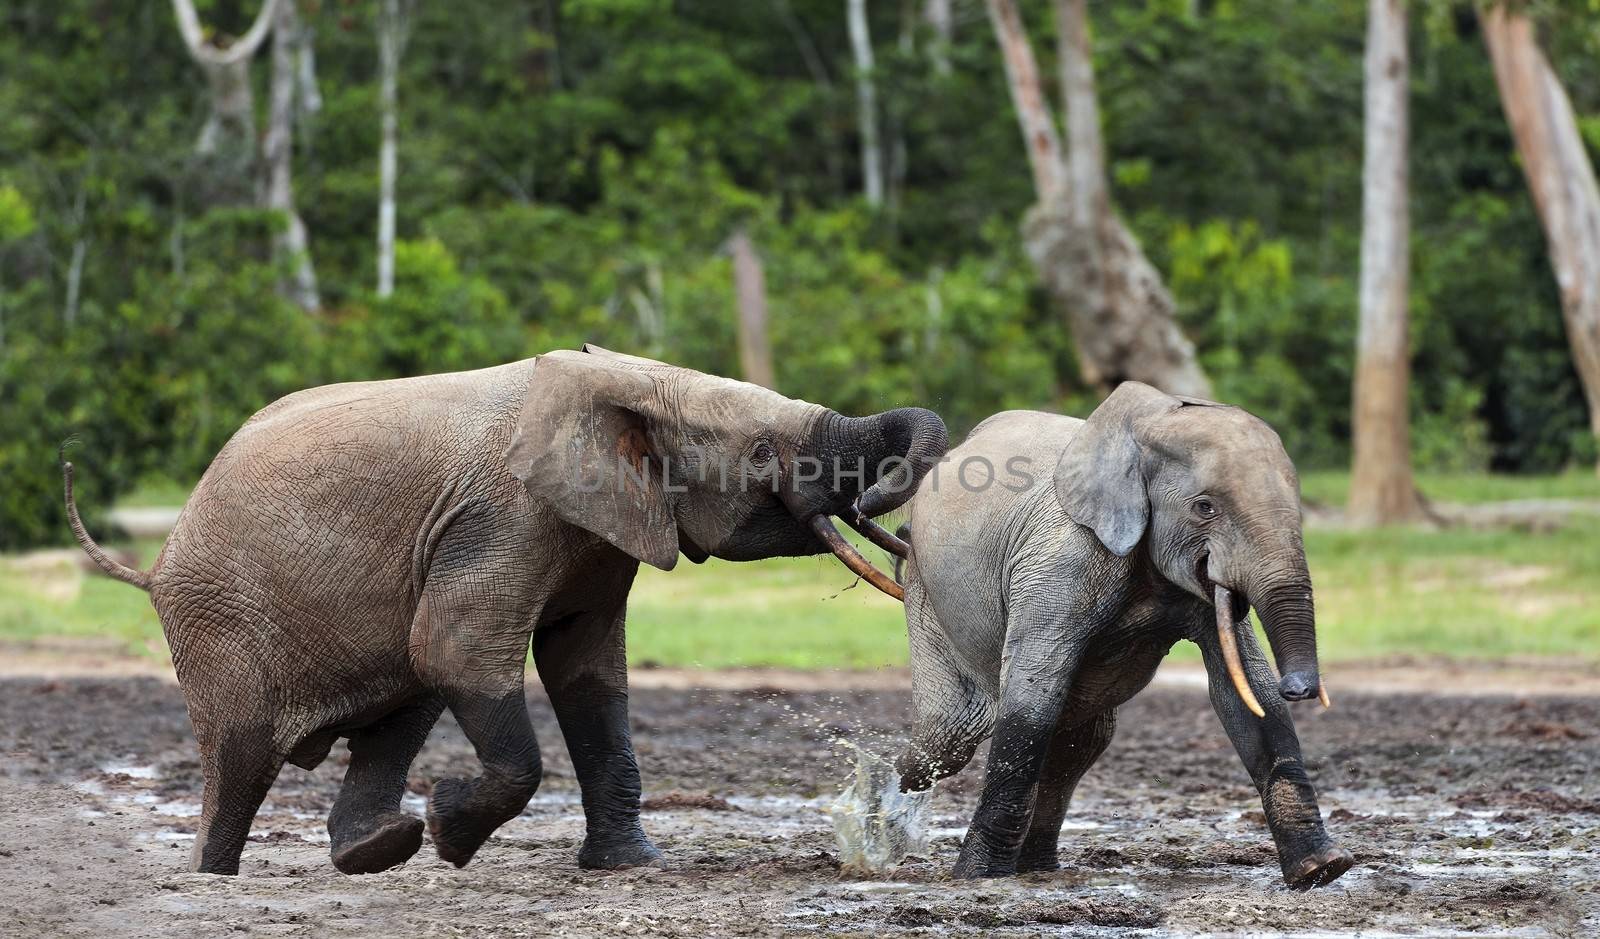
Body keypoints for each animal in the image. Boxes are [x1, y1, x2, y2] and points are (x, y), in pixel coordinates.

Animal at [65, 347, 947, 883]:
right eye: (763, 452)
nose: (884, 514)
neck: (631, 382)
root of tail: (155, 557)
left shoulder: (598, 528)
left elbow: (585, 671)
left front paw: (629, 866)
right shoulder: (504, 515)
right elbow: (461, 649)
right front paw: (452, 830)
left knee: (406, 700)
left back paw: (377, 852)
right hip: (219, 617)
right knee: (247, 752)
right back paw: (219, 874)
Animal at [889, 382, 1350, 889]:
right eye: (1204, 508)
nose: (1301, 689)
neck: (1147, 429)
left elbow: (1246, 693)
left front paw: (1322, 870)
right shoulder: (1066, 557)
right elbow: (1034, 690)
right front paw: (977, 878)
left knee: (1080, 741)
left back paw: (1036, 867)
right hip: (923, 589)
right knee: (951, 736)